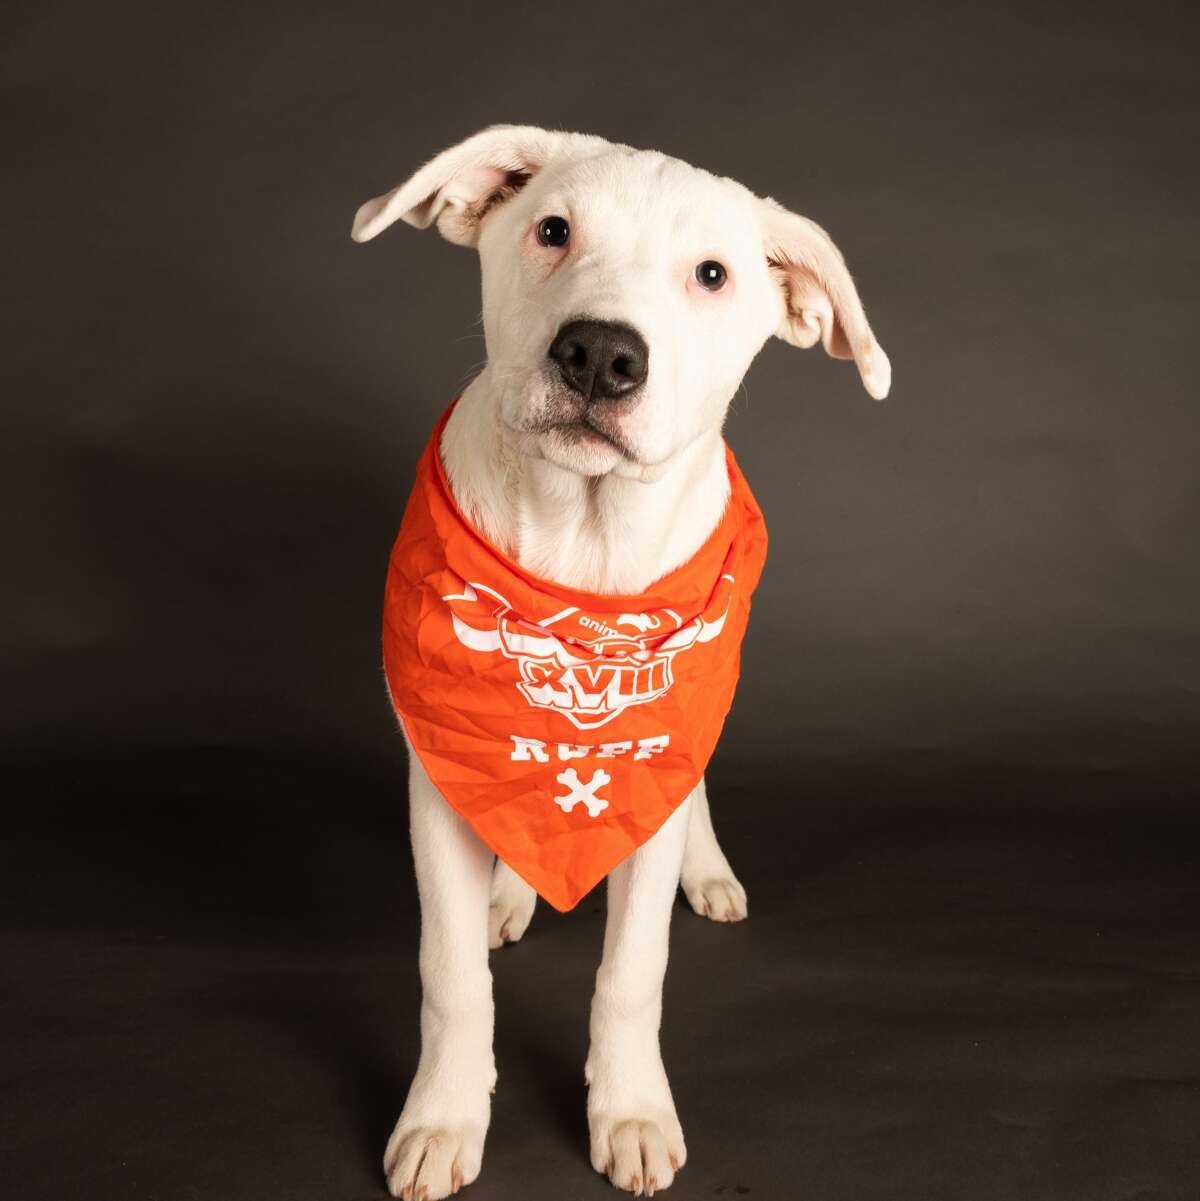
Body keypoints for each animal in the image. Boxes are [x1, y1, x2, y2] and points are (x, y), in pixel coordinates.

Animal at [350, 124, 888, 1201]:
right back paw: (510, 891)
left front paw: (631, 1109)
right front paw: (443, 1115)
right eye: (553, 229)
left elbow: (633, 972)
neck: (583, 545)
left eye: (713, 275)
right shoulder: (437, 777)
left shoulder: (655, 755)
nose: (600, 352)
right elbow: (451, 976)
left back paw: (707, 870)